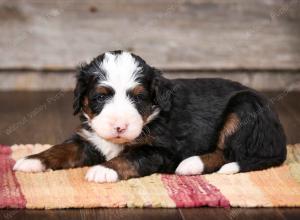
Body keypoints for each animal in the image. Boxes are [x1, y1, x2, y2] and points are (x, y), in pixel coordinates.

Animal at [12, 50, 288, 183]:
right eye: (100, 97)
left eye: (139, 98)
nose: (120, 127)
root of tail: (280, 141)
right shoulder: (90, 140)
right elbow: (62, 148)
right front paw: (32, 160)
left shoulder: (160, 150)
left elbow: (129, 158)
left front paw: (103, 170)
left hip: (243, 108)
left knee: (230, 153)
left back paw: (190, 164)